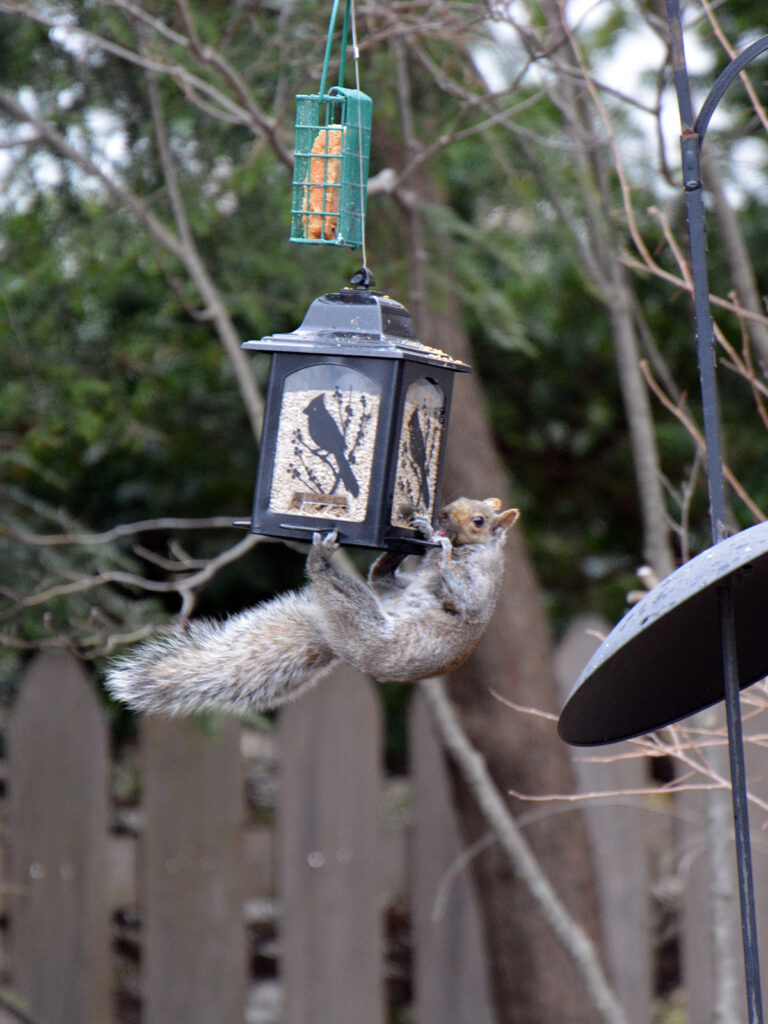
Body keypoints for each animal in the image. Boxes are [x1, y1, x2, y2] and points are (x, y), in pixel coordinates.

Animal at [103, 497, 524, 720]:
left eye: (478, 520)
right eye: (460, 500)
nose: (440, 515)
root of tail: (329, 636)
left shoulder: (479, 587)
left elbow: (465, 600)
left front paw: (444, 549)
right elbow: (388, 574)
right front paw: (416, 534)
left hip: (361, 622)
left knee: (334, 581)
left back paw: (320, 560)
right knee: (376, 582)